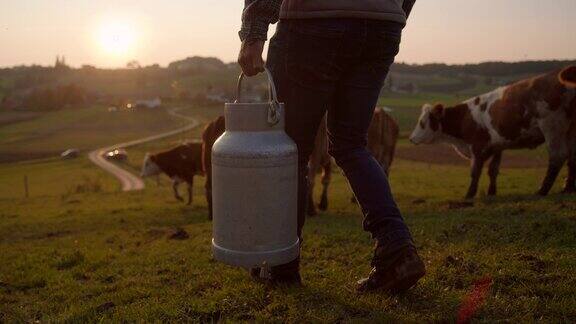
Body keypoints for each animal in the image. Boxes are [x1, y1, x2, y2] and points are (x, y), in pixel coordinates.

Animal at [410, 65, 576, 197]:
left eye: (422, 122)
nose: (411, 138)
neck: (465, 117)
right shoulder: (497, 146)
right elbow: (493, 170)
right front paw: (491, 192)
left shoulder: (477, 146)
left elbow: (475, 171)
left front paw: (469, 194)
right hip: (570, 130)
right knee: (572, 156)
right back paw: (567, 188)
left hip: (552, 127)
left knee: (557, 156)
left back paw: (542, 190)